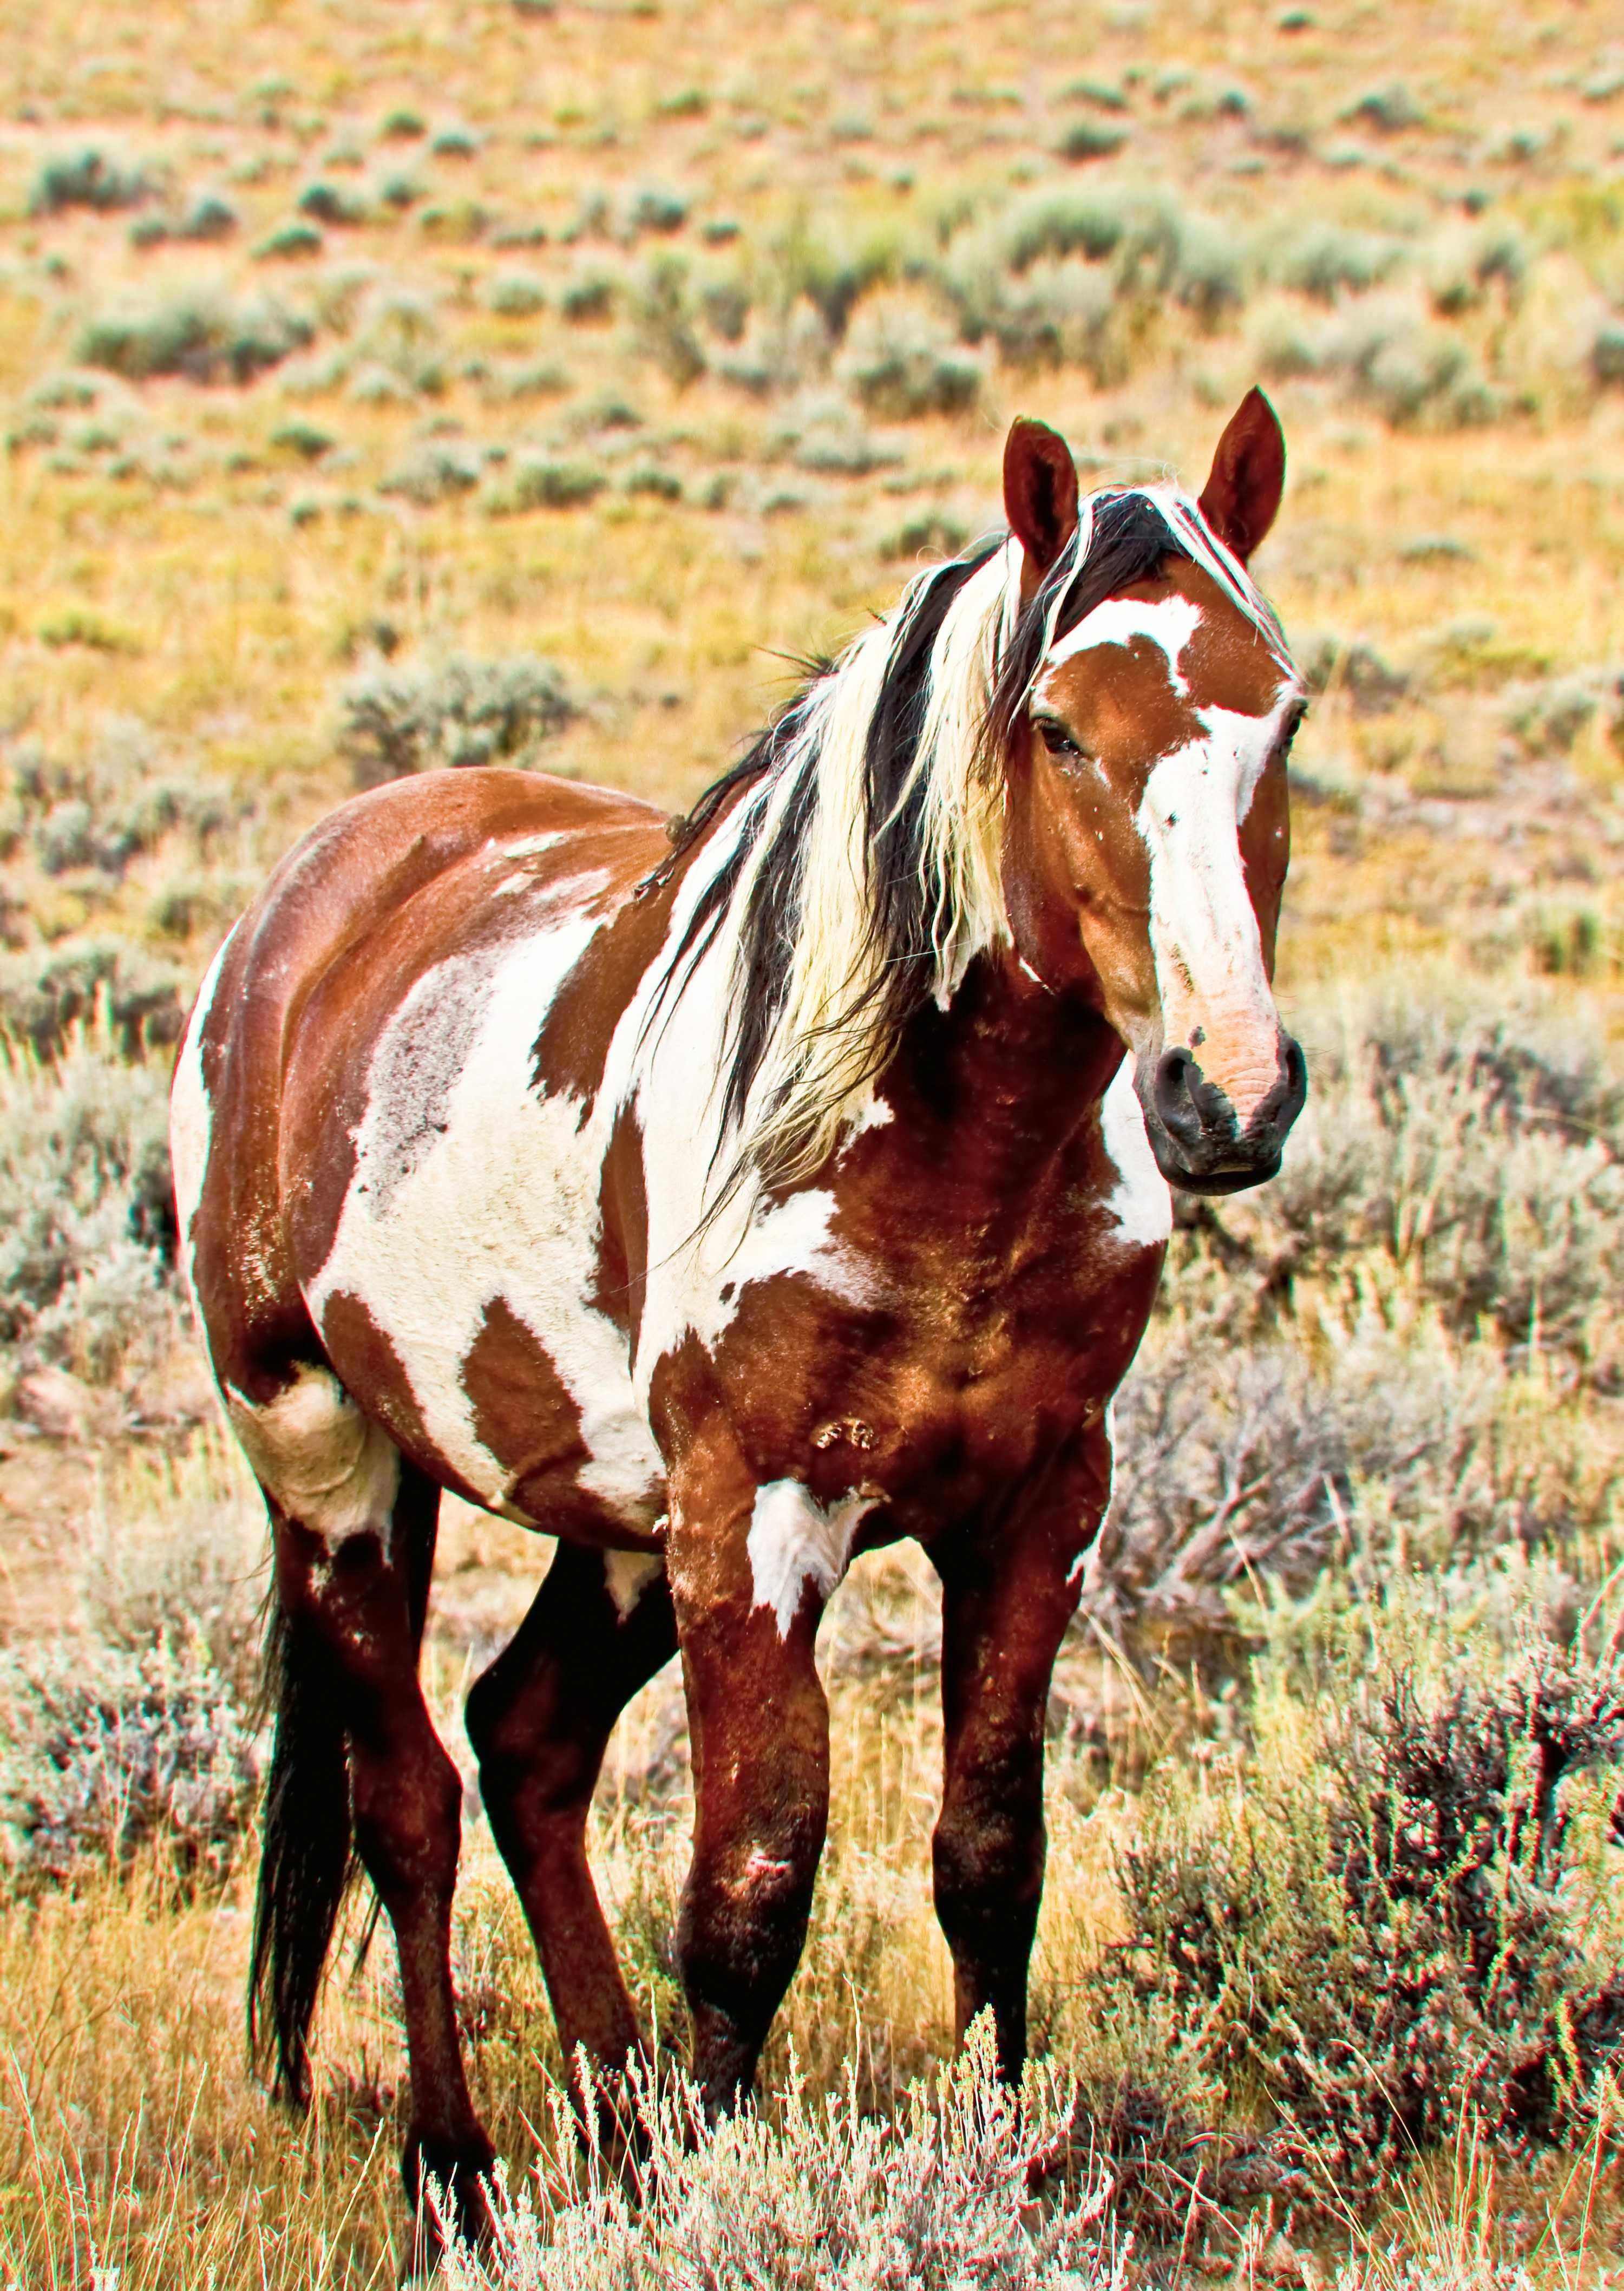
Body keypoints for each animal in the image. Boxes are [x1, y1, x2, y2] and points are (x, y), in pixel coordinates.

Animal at [169, 389, 1307, 2239]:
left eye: (1284, 715)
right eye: (1060, 730)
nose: (1232, 1093)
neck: (943, 1160)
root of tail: (307, 901)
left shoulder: (1042, 1507)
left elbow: (991, 1863)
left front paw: (988, 2170)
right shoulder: (763, 1515)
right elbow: (750, 1891)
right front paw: (727, 2191)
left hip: (621, 1529)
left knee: (526, 1745)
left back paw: (624, 2131)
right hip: (329, 1457)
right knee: (406, 1800)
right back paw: (454, 2171)